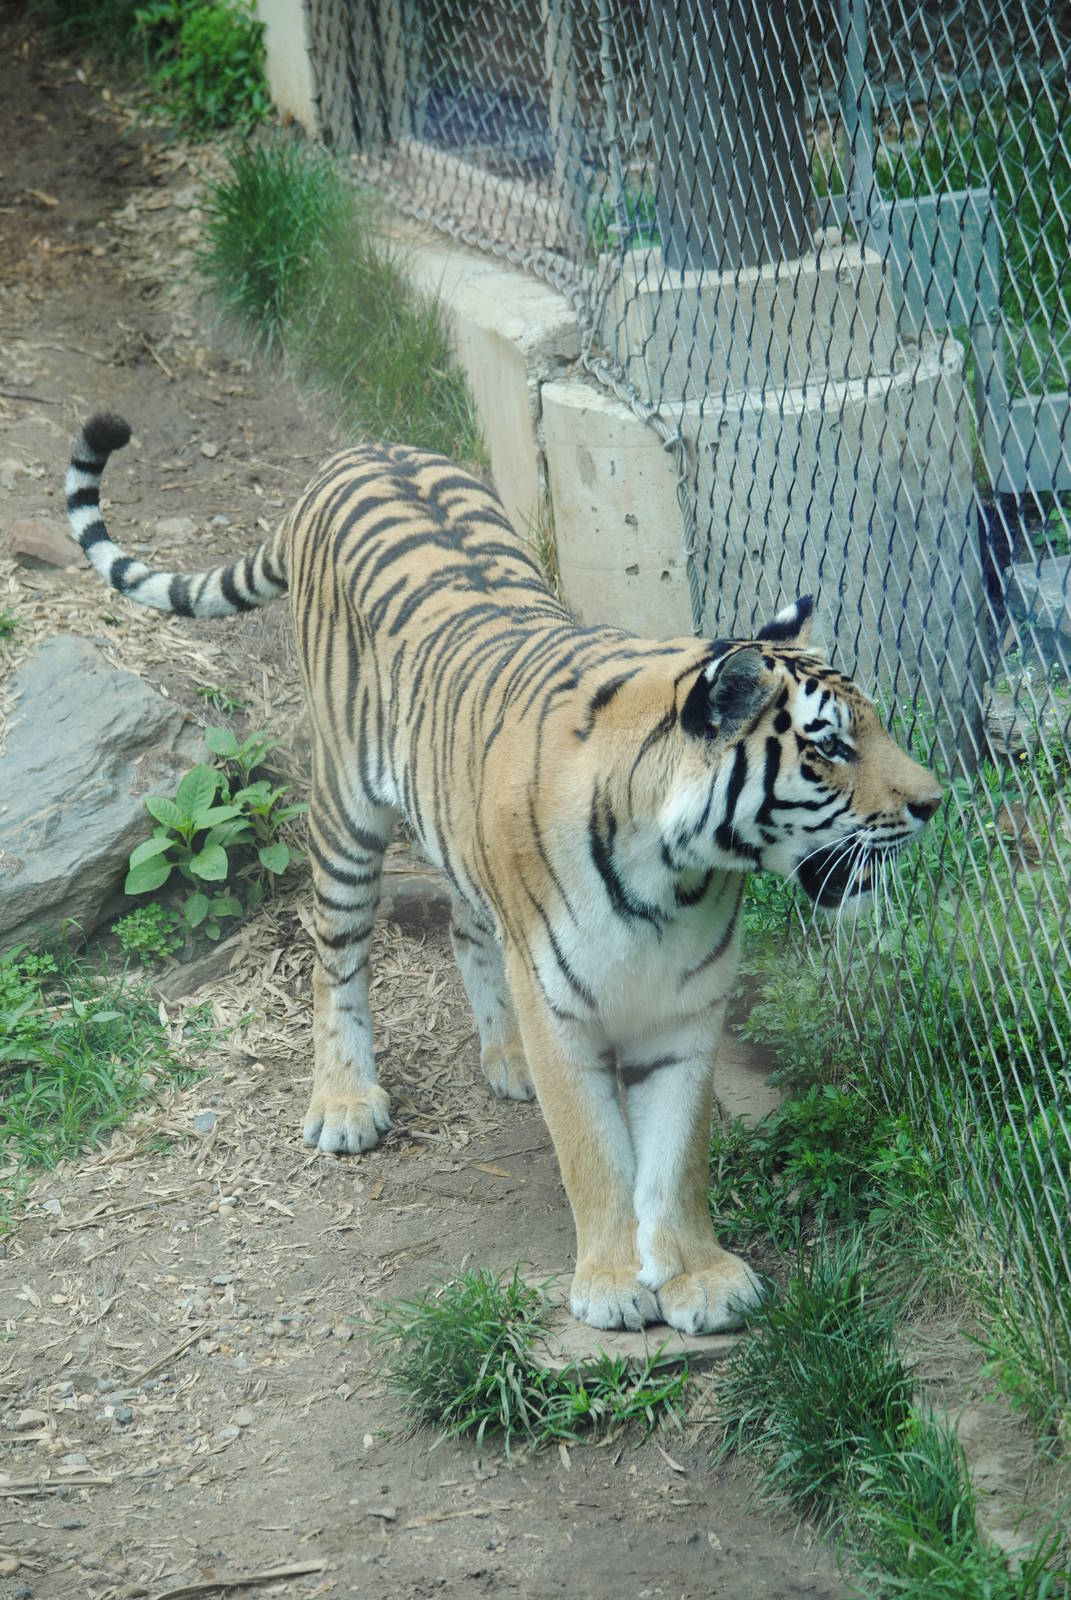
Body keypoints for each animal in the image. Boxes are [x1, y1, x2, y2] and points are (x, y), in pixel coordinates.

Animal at [66, 412, 941, 1335]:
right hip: (344, 811)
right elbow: (595, 1150)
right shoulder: (561, 1005)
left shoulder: (686, 1011)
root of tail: (359, 453)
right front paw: (612, 1282)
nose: (935, 801)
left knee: (465, 923)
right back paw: (343, 1103)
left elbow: (677, 1158)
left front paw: (700, 1276)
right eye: (829, 745)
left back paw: (504, 1054)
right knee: (332, 956)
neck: (681, 874)